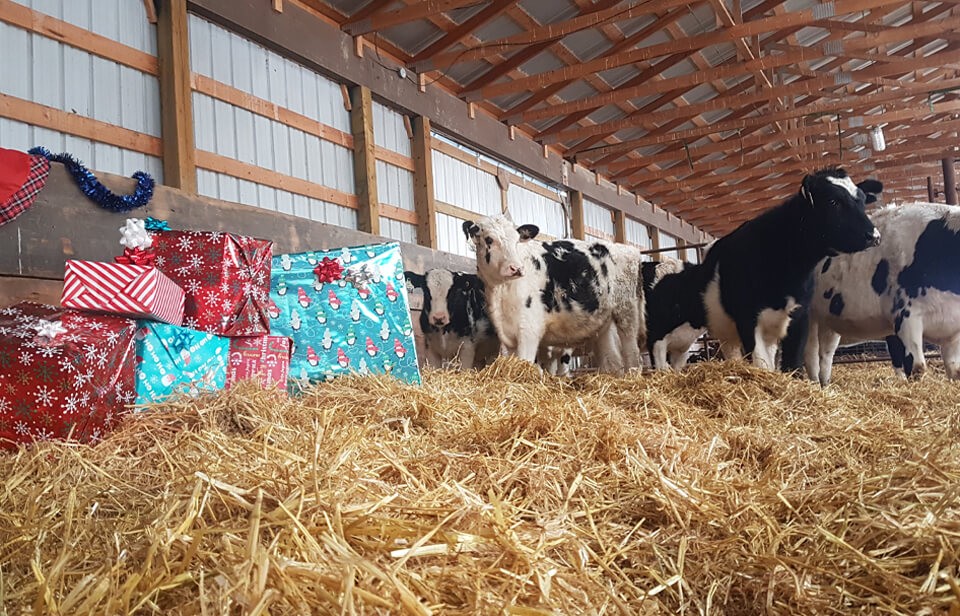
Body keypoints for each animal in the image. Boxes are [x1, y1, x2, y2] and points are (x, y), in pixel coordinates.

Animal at [464, 214, 644, 372]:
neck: (501, 292)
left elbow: (526, 361)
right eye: (489, 239)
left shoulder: (529, 330)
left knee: (632, 354)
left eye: (517, 240)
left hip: (626, 313)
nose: (516, 268)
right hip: (604, 324)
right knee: (612, 360)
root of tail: (627, 249)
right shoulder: (508, 337)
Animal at [692, 168, 880, 368]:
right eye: (833, 201)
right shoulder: (747, 320)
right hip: (724, 329)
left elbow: (793, 363)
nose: (874, 235)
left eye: (862, 201)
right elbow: (761, 364)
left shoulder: (800, 317)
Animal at [808, 202, 960, 384]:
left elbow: (955, 372)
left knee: (825, 355)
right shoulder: (905, 317)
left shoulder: (953, 330)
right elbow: (917, 368)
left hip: (827, 321)